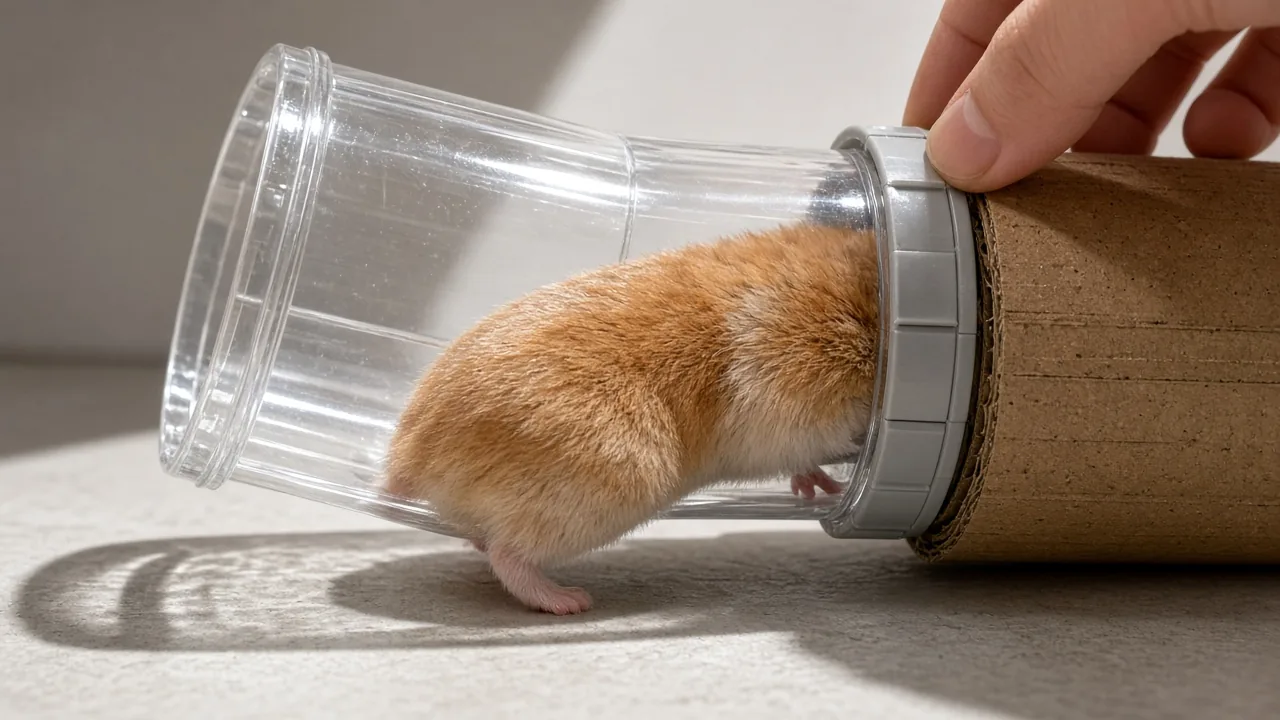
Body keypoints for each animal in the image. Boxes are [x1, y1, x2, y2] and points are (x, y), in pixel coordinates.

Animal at [383, 222, 880, 614]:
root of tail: (404, 465)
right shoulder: (796, 404)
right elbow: (826, 440)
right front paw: (841, 473)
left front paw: (820, 489)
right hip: (617, 480)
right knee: (509, 556)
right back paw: (570, 601)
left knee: (485, 542)